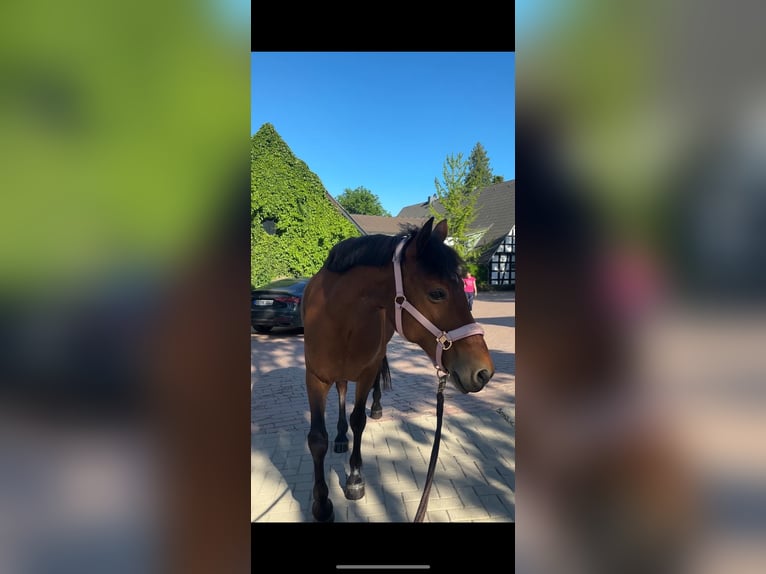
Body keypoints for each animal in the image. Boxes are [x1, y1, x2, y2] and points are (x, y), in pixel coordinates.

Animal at [301, 217, 495, 522]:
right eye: (437, 293)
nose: (483, 372)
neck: (337, 318)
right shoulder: (315, 378)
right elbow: (317, 440)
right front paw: (321, 505)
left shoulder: (366, 373)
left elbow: (359, 421)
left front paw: (354, 479)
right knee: (342, 388)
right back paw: (341, 437)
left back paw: (370, 413)